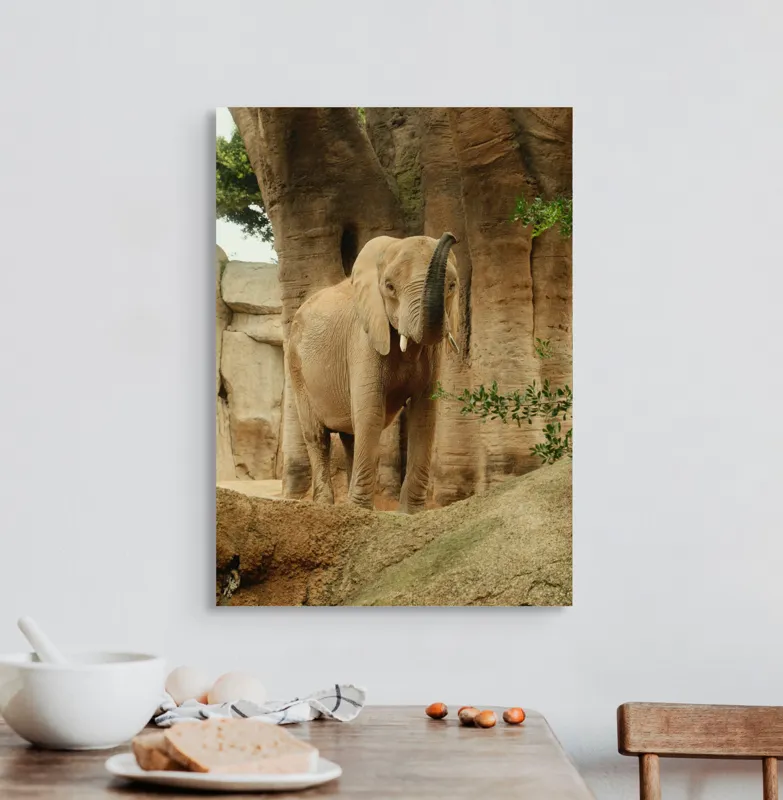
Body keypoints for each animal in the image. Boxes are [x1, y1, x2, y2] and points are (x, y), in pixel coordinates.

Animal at [287, 232, 460, 513]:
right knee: (317, 436)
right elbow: (371, 413)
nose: (450, 236)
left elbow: (424, 415)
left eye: (452, 286)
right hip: (296, 366)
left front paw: (410, 513)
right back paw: (326, 505)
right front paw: (360, 511)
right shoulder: (363, 338)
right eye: (389, 287)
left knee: (350, 436)